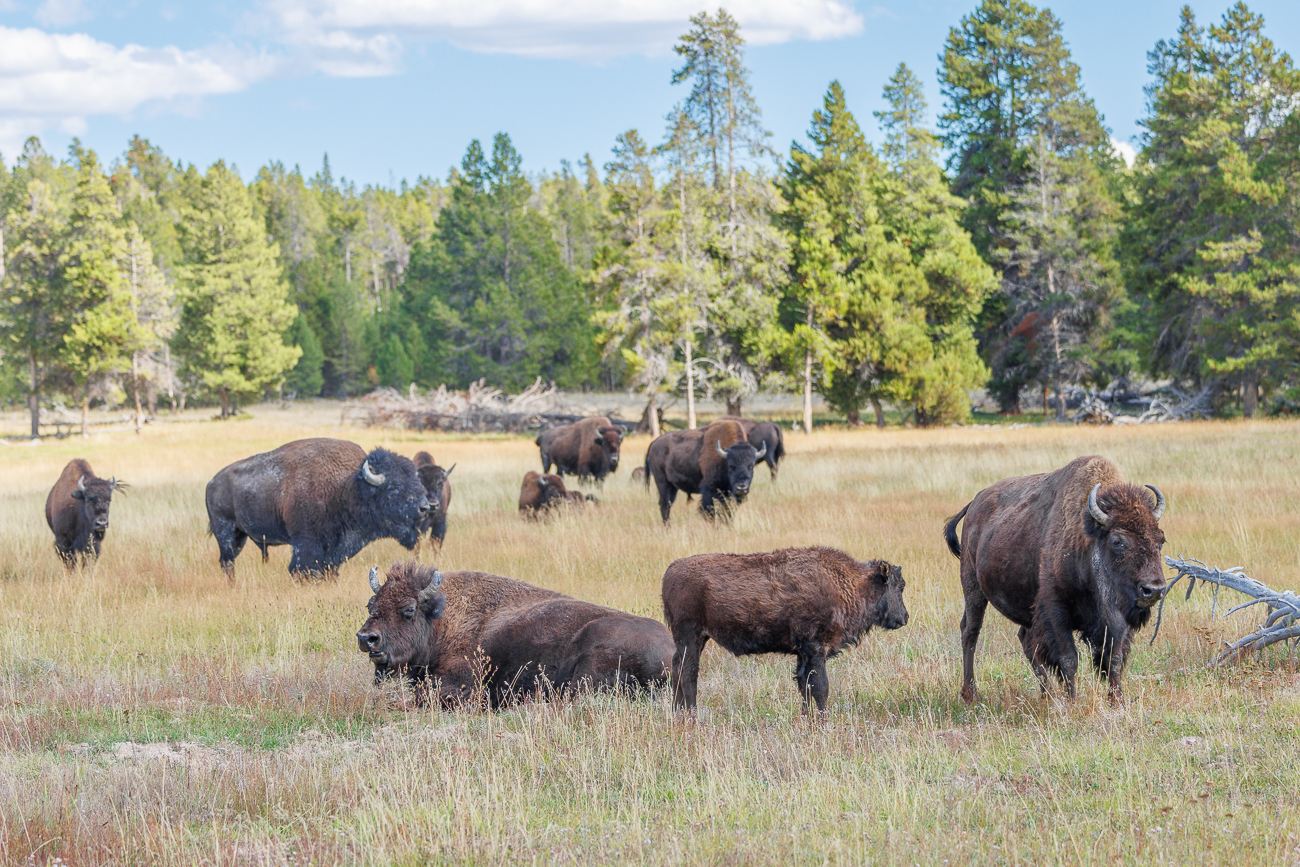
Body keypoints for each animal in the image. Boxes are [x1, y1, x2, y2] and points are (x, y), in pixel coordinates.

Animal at [206, 436, 431, 579]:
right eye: (394, 487)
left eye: (416, 480)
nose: (425, 507)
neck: (348, 487)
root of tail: (211, 482)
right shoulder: (306, 543)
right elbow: (303, 569)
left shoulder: (333, 551)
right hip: (225, 531)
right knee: (227, 561)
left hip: (240, 536)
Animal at [361, 558, 676, 707]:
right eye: (371, 604)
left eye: (408, 610)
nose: (367, 638)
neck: (442, 618)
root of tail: (674, 651)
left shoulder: (460, 680)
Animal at [665, 548, 909, 717]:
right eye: (900, 586)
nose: (905, 617)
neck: (850, 585)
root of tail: (670, 571)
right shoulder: (815, 649)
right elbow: (821, 688)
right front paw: (824, 722)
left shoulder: (803, 654)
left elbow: (805, 686)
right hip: (691, 637)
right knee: (688, 675)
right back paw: (692, 717)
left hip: (693, 640)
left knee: (676, 670)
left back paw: (677, 715)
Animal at [941, 454, 1175, 707]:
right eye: (1117, 541)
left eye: (1160, 540)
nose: (1154, 589)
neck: (1087, 540)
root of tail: (975, 502)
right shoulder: (1056, 610)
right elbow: (1068, 659)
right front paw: (1073, 703)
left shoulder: (1116, 620)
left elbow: (1114, 658)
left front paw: (1117, 701)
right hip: (972, 587)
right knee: (970, 632)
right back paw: (970, 694)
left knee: (1025, 640)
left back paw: (1048, 694)